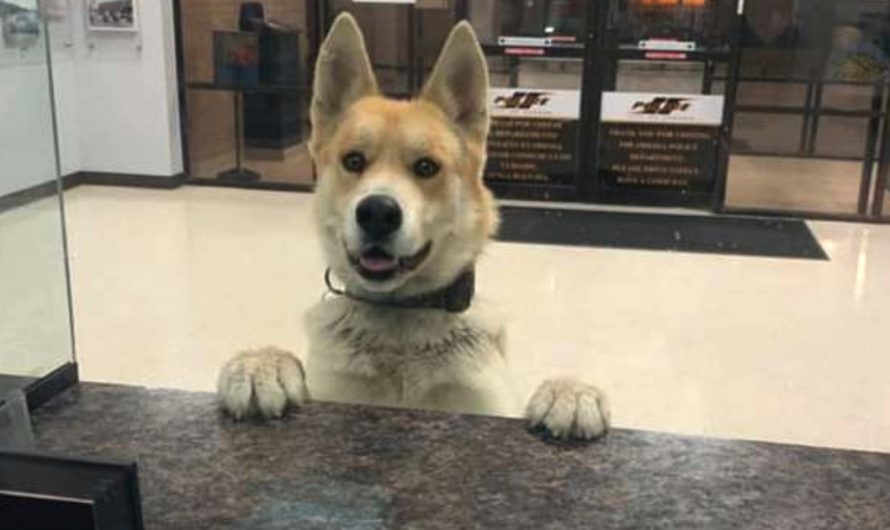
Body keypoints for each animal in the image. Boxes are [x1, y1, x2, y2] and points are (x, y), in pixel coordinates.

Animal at [213, 14, 612, 440]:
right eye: (353, 161)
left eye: (426, 167)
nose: (377, 212)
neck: (400, 317)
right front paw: (261, 362)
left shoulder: (489, 405)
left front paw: (570, 392)